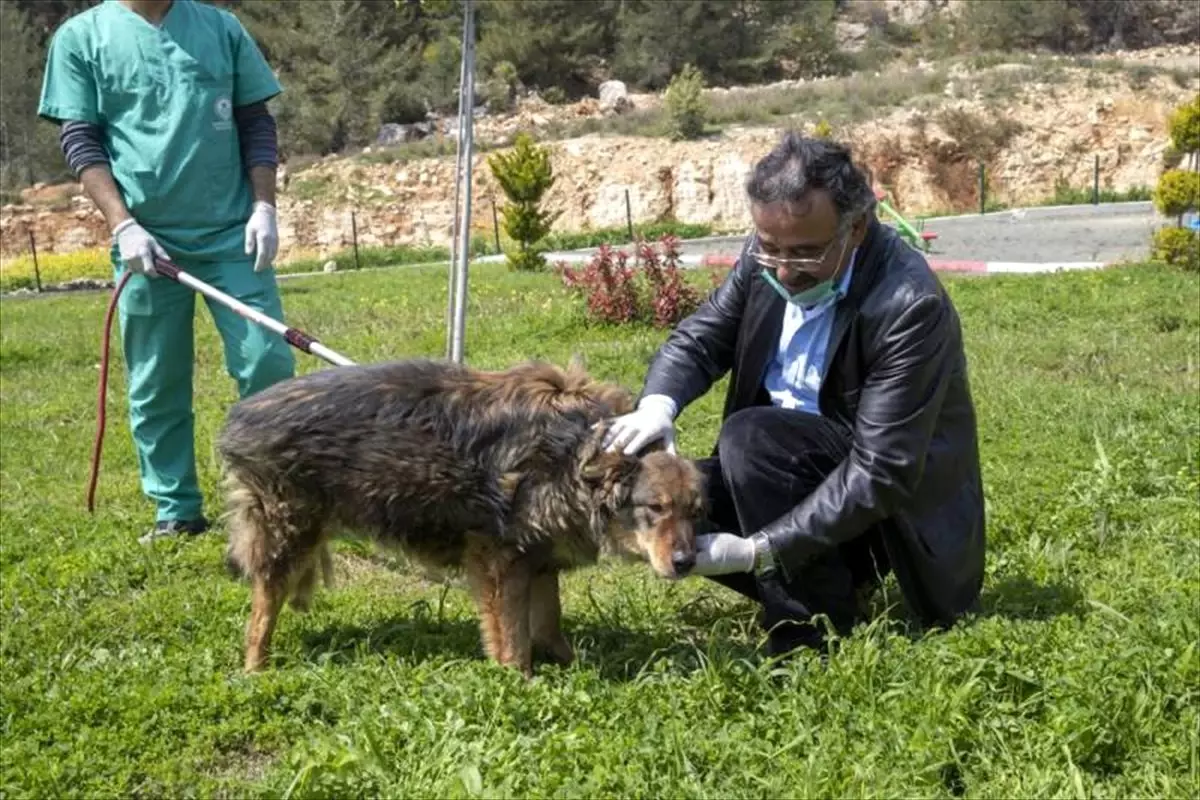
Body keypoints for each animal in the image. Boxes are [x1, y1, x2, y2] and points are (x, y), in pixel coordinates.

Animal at [218, 357, 700, 676]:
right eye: (655, 507)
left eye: (696, 511)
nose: (686, 563)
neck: (577, 452)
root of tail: (238, 416)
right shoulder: (501, 559)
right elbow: (512, 636)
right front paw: (518, 683)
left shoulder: (539, 558)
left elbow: (548, 622)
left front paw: (569, 662)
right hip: (287, 536)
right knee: (261, 615)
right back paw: (255, 671)